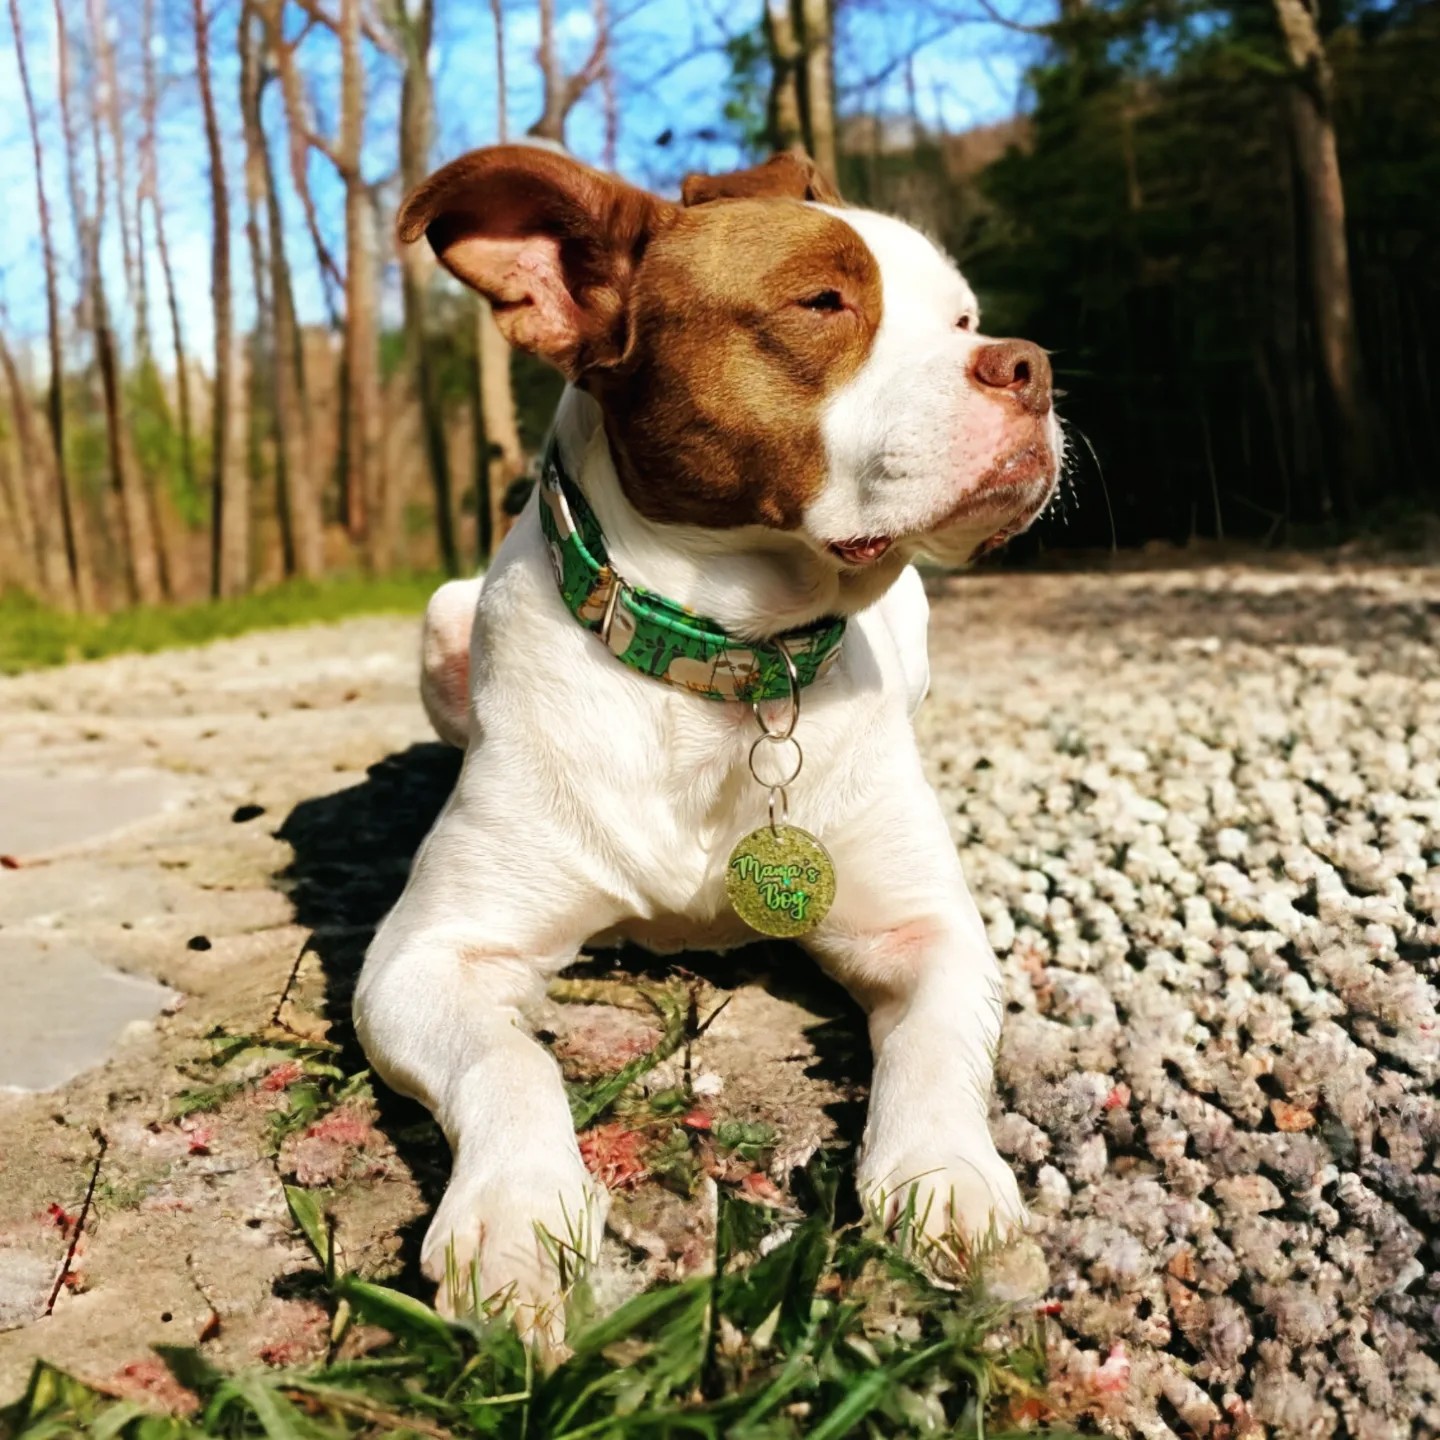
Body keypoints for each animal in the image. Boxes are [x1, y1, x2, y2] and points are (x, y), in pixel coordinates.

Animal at [355, 140, 1065, 1342]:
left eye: (965, 318)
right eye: (822, 303)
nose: (1030, 365)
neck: (728, 666)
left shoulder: (927, 930)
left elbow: (934, 1048)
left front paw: (946, 1175)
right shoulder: (425, 960)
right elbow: (505, 1064)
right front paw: (518, 1215)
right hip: (441, 621)